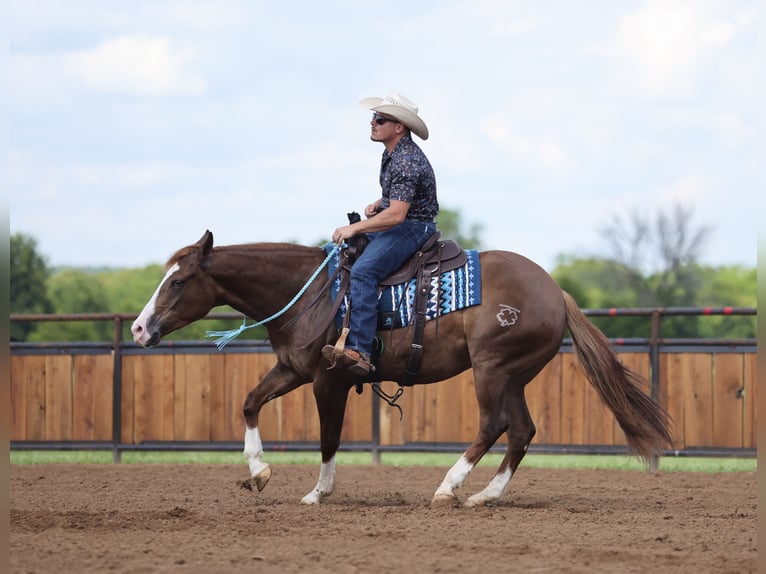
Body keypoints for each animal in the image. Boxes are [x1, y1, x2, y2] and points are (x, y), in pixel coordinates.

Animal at [131, 230, 672, 507]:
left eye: (177, 282)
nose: (138, 328)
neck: (311, 293)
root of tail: (555, 290)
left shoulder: (329, 379)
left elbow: (329, 438)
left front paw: (318, 492)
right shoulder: (292, 369)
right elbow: (249, 403)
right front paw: (259, 473)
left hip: (492, 370)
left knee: (494, 425)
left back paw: (448, 487)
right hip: (513, 376)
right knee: (521, 430)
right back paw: (484, 496)